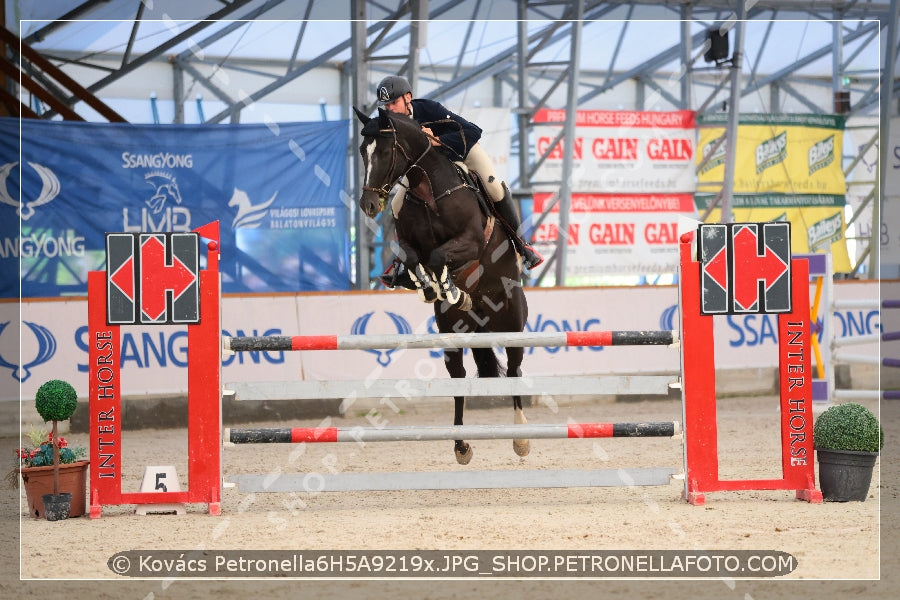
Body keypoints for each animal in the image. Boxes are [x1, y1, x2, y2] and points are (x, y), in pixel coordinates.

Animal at [356, 106, 532, 464]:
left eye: (384, 152)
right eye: (361, 152)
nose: (368, 205)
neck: (427, 188)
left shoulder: (471, 241)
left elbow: (440, 255)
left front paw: (449, 287)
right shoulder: (410, 245)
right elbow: (416, 258)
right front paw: (436, 288)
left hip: (512, 321)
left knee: (515, 369)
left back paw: (520, 438)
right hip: (452, 332)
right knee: (458, 377)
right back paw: (461, 444)